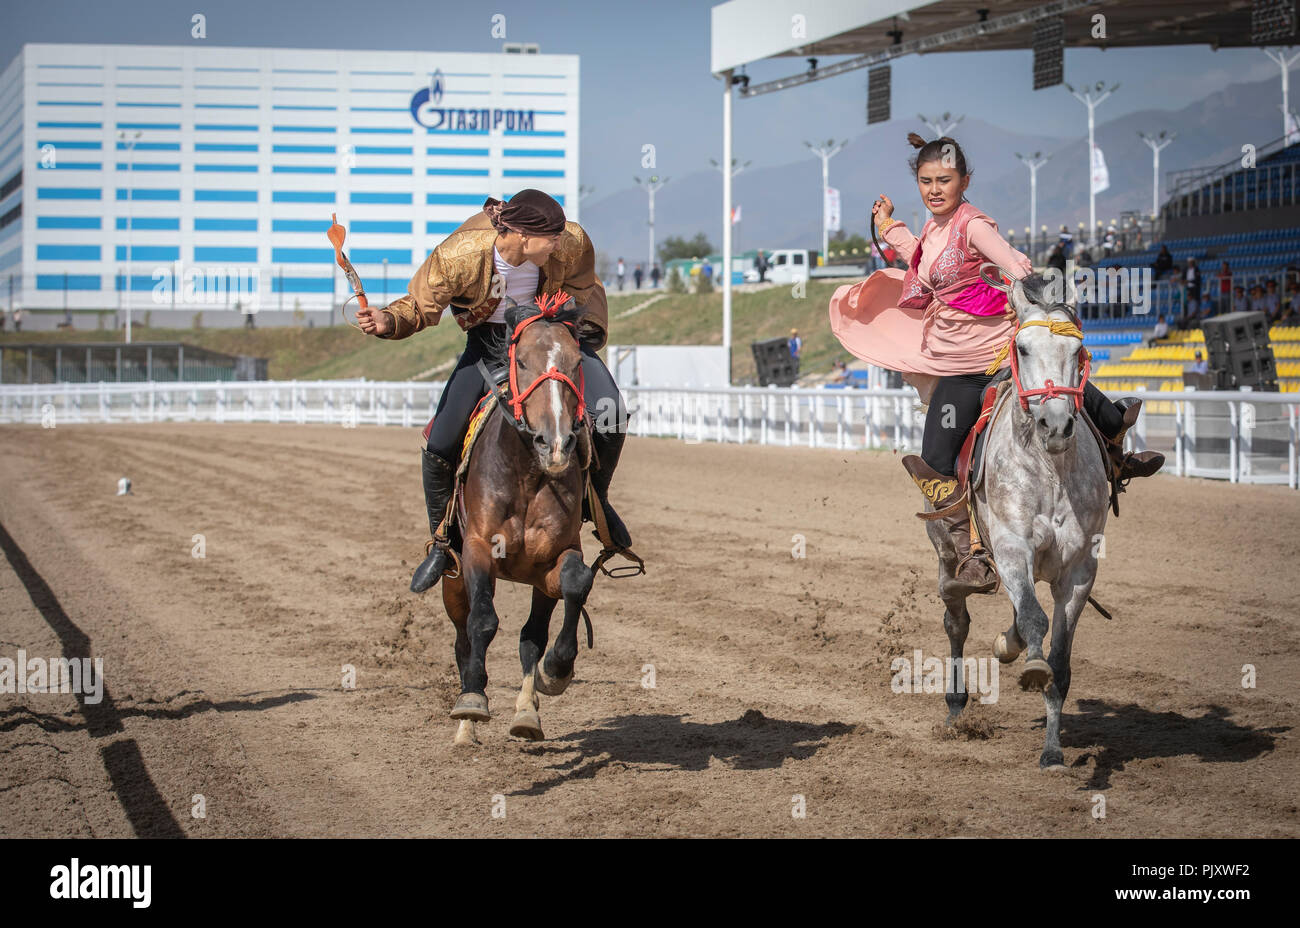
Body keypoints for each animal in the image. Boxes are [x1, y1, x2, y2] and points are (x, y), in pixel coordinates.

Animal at [441, 291, 595, 743]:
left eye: (576, 361)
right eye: (522, 361)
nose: (556, 442)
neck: (526, 475)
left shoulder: (554, 560)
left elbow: (576, 584)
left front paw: (556, 671)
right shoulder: (477, 550)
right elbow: (483, 622)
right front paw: (473, 702)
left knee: (531, 636)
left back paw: (527, 713)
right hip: (452, 576)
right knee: (462, 637)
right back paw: (466, 726)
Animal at [930, 267, 1102, 764]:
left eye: (1077, 351)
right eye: (1023, 348)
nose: (1056, 424)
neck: (1050, 471)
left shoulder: (1080, 570)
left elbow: (1059, 658)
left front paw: (1052, 750)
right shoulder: (1010, 548)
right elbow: (1034, 620)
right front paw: (1031, 665)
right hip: (948, 551)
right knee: (956, 617)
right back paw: (956, 706)